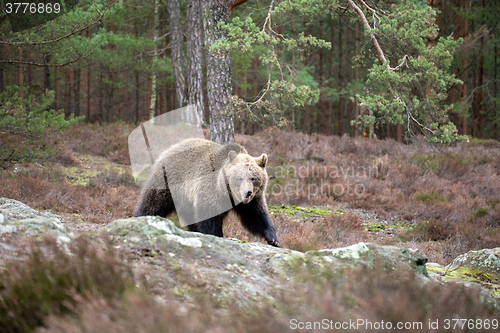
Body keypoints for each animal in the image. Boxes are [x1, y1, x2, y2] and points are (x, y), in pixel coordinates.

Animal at [134, 137, 282, 246]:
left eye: (253, 178)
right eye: (239, 178)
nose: (248, 192)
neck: (229, 194)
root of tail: (171, 147)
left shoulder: (252, 200)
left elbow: (255, 216)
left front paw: (273, 239)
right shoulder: (211, 191)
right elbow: (209, 217)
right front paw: (217, 235)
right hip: (168, 180)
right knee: (153, 202)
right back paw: (141, 217)